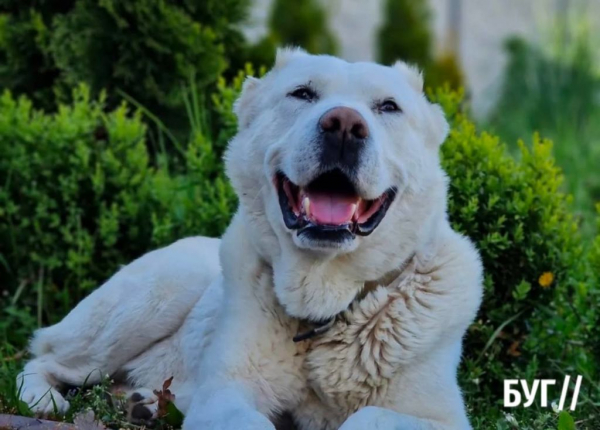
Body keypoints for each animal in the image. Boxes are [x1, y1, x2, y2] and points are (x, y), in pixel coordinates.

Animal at [17, 47, 482, 430]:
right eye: (302, 94)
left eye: (388, 107)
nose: (344, 125)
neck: (324, 311)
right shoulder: (226, 392)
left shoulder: (442, 418)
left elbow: (369, 417)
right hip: (159, 293)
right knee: (45, 356)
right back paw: (43, 399)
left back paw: (145, 403)